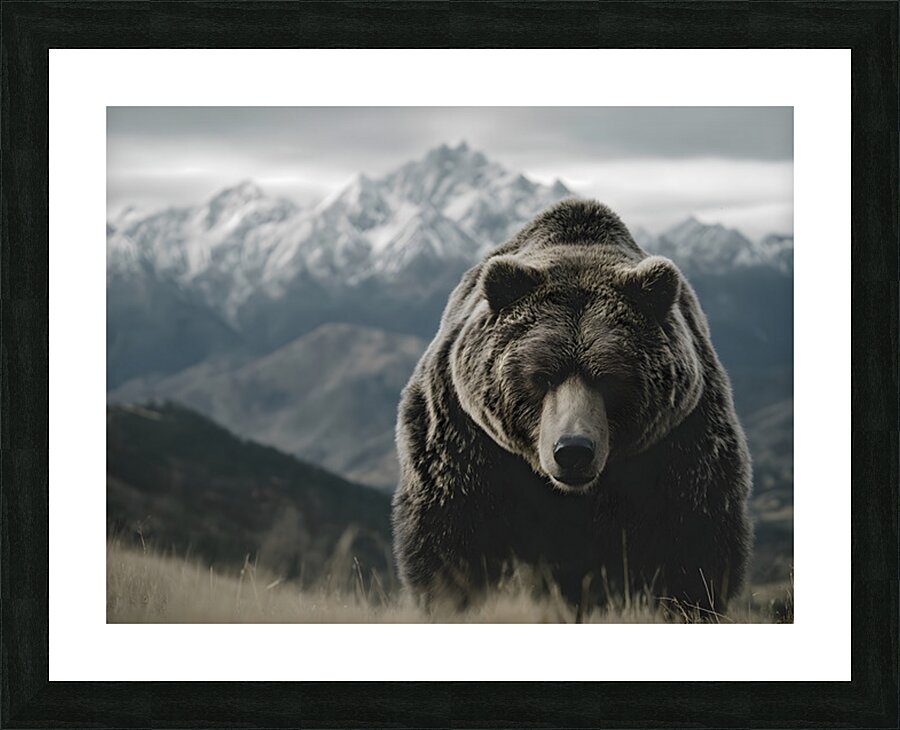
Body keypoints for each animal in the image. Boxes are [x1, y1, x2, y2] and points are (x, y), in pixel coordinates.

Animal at [392, 199, 752, 616]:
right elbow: (452, 540)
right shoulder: (466, 441)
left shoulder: (680, 444)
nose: (574, 450)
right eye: (541, 376)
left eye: (610, 377)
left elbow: (691, 547)